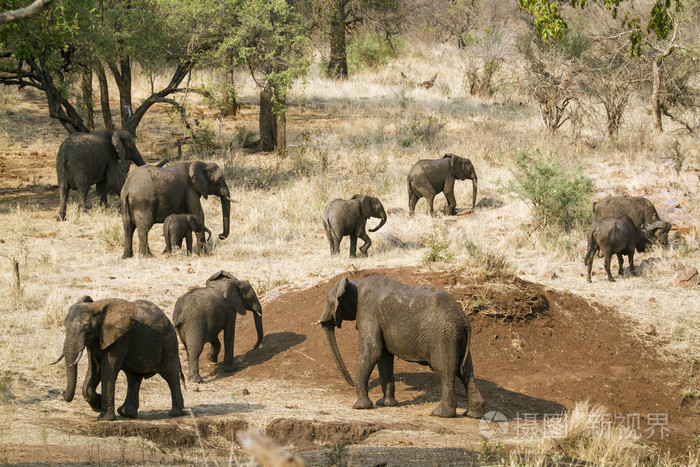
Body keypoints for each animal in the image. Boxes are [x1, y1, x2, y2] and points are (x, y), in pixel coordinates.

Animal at [51, 298, 185, 422]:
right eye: (65, 325)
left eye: (87, 327)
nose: (63, 392)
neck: (97, 307)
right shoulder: (96, 339)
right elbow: (95, 369)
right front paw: (97, 405)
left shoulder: (120, 338)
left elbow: (108, 370)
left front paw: (104, 418)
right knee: (134, 378)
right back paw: (126, 413)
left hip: (169, 343)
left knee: (171, 376)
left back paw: (175, 413)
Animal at [314, 276, 484, 418]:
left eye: (327, 300)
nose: (349, 383)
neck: (356, 283)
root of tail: (464, 320)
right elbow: (384, 357)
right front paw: (385, 404)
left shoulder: (368, 312)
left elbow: (372, 351)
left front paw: (360, 407)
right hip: (455, 337)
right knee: (466, 371)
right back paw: (473, 414)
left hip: (443, 337)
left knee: (446, 371)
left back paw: (440, 414)